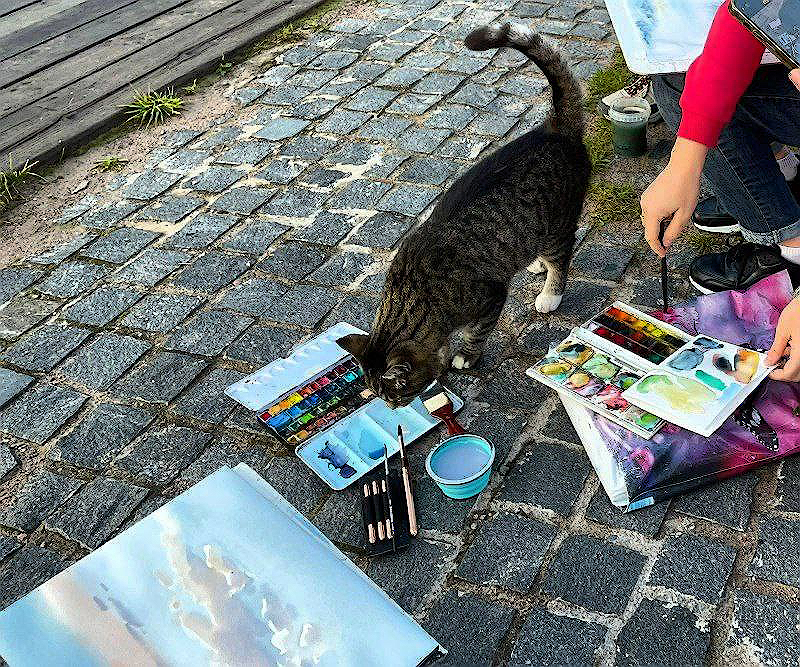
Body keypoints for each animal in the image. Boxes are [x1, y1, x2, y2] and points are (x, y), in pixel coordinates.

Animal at [337, 21, 591, 408]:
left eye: (396, 393)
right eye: (381, 397)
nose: (393, 406)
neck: (417, 297)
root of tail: (555, 128)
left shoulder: (490, 296)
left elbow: (476, 332)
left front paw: (466, 356)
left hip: (554, 226)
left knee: (561, 258)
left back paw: (551, 292)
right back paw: (535, 264)